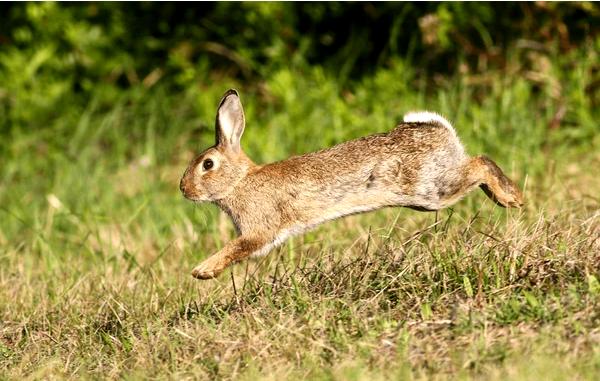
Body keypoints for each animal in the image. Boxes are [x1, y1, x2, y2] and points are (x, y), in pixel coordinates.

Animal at [180, 89, 524, 280]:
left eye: (207, 165)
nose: (184, 189)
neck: (239, 181)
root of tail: (439, 130)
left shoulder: (258, 229)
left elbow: (236, 248)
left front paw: (202, 271)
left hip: (431, 189)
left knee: (480, 164)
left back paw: (511, 198)